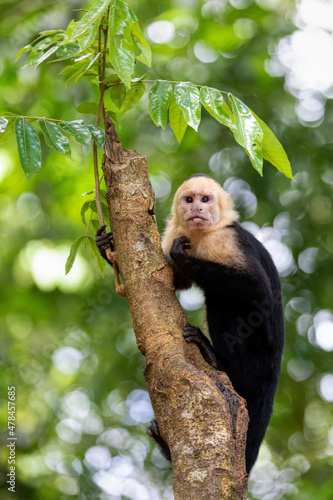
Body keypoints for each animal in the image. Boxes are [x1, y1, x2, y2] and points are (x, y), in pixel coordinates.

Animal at [94, 174, 284, 474]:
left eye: (205, 199)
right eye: (189, 199)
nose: (197, 208)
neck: (201, 236)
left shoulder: (224, 239)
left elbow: (258, 289)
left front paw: (183, 257)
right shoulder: (176, 233)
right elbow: (168, 278)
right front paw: (105, 246)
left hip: (259, 353)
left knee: (225, 301)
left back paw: (216, 360)